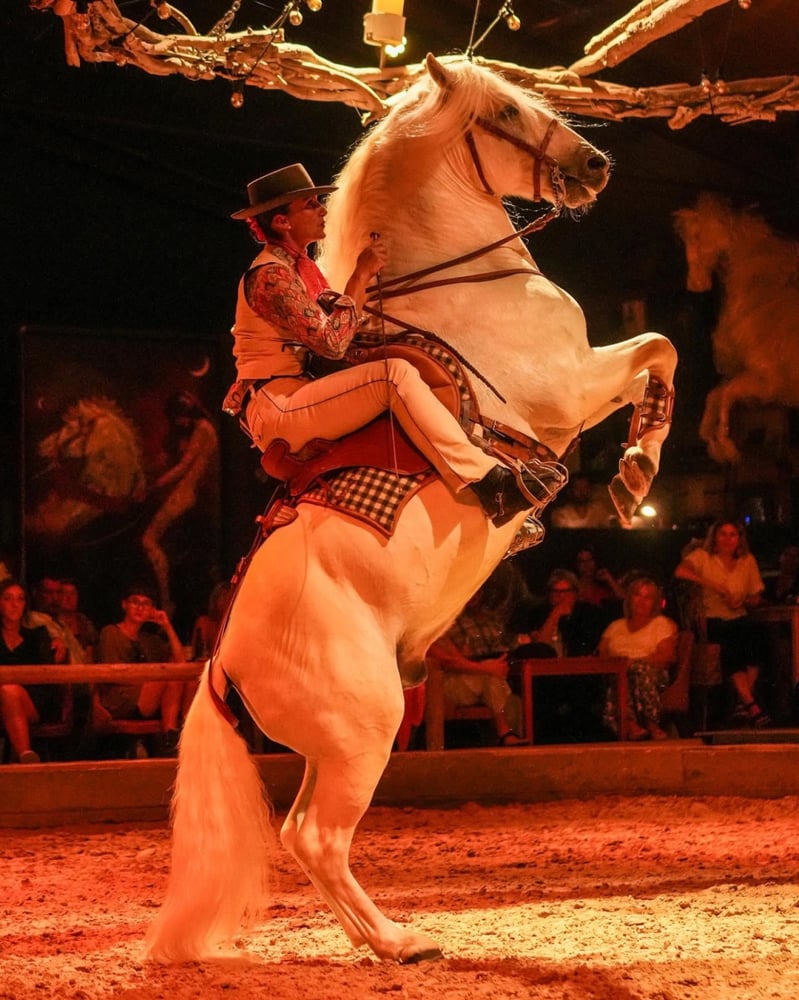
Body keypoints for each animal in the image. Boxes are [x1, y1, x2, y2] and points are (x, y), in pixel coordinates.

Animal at [146, 54, 677, 965]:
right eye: (508, 110)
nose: (594, 165)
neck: (462, 283)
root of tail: (221, 666)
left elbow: (657, 356)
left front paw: (632, 466)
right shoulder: (570, 387)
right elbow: (658, 349)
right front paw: (633, 473)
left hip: (335, 746)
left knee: (303, 833)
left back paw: (384, 937)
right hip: (364, 728)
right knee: (315, 837)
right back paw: (399, 944)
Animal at [674, 192, 799, 464]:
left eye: (696, 236)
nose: (694, 284)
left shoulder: (766, 384)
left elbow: (726, 395)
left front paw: (726, 446)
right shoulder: (749, 379)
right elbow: (715, 395)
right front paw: (713, 442)